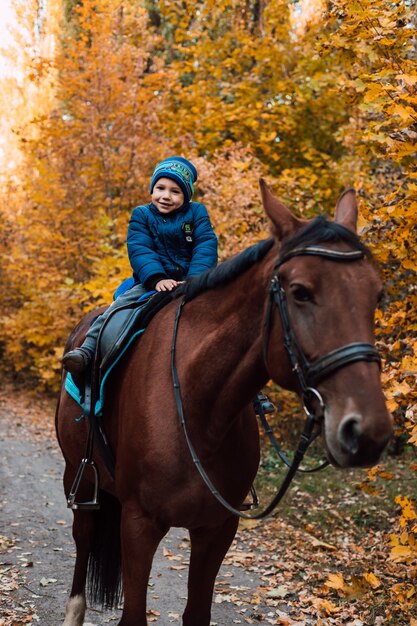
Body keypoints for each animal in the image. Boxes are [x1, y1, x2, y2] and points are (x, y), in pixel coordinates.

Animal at [54, 182, 390, 624]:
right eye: (300, 292)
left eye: (376, 294)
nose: (367, 431)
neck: (199, 409)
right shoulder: (139, 523)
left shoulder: (217, 530)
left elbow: (197, 612)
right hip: (79, 481)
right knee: (82, 547)